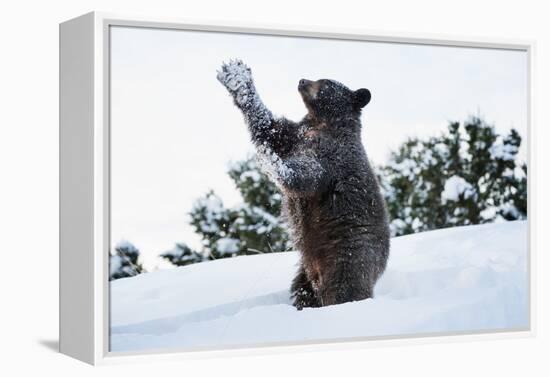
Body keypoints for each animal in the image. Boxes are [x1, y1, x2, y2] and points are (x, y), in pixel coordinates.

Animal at [217, 59, 392, 308]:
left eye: (325, 82)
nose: (302, 80)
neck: (321, 122)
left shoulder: (330, 157)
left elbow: (304, 175)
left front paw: (271, 161)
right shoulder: (295, 135)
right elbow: (269, 126)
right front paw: (236, 76)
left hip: (349, 253)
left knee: (344, 288)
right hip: (306, 269)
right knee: (304, 290)